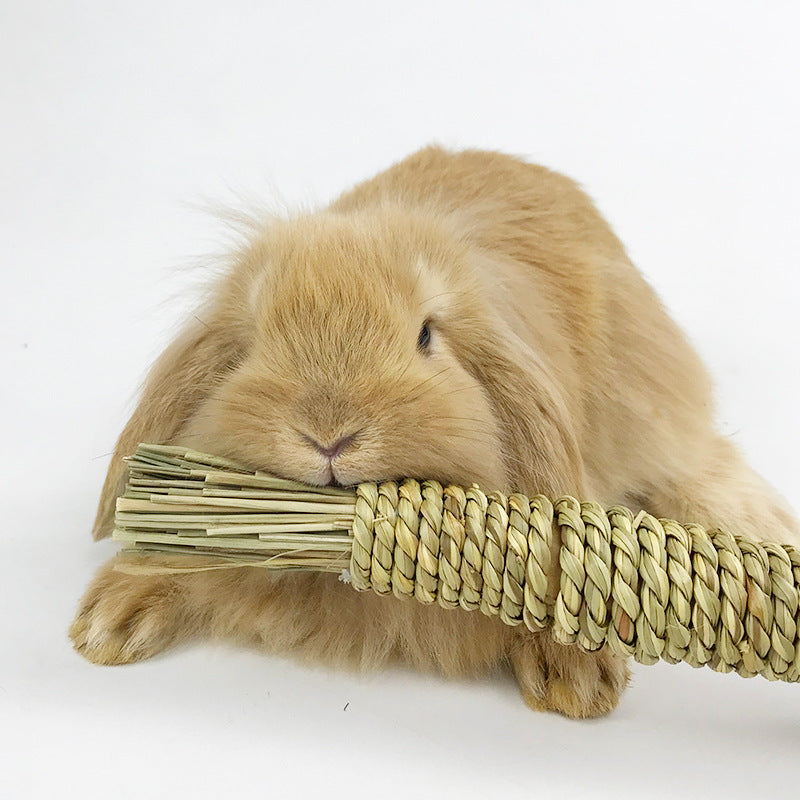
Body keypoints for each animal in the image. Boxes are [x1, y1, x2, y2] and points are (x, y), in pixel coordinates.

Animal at [70, 144, 800, 720]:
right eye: (250, 342)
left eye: (426, 335)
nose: (330, 433)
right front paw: (108, 622)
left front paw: (577, 679)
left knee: (697, 463)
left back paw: (765, 528)